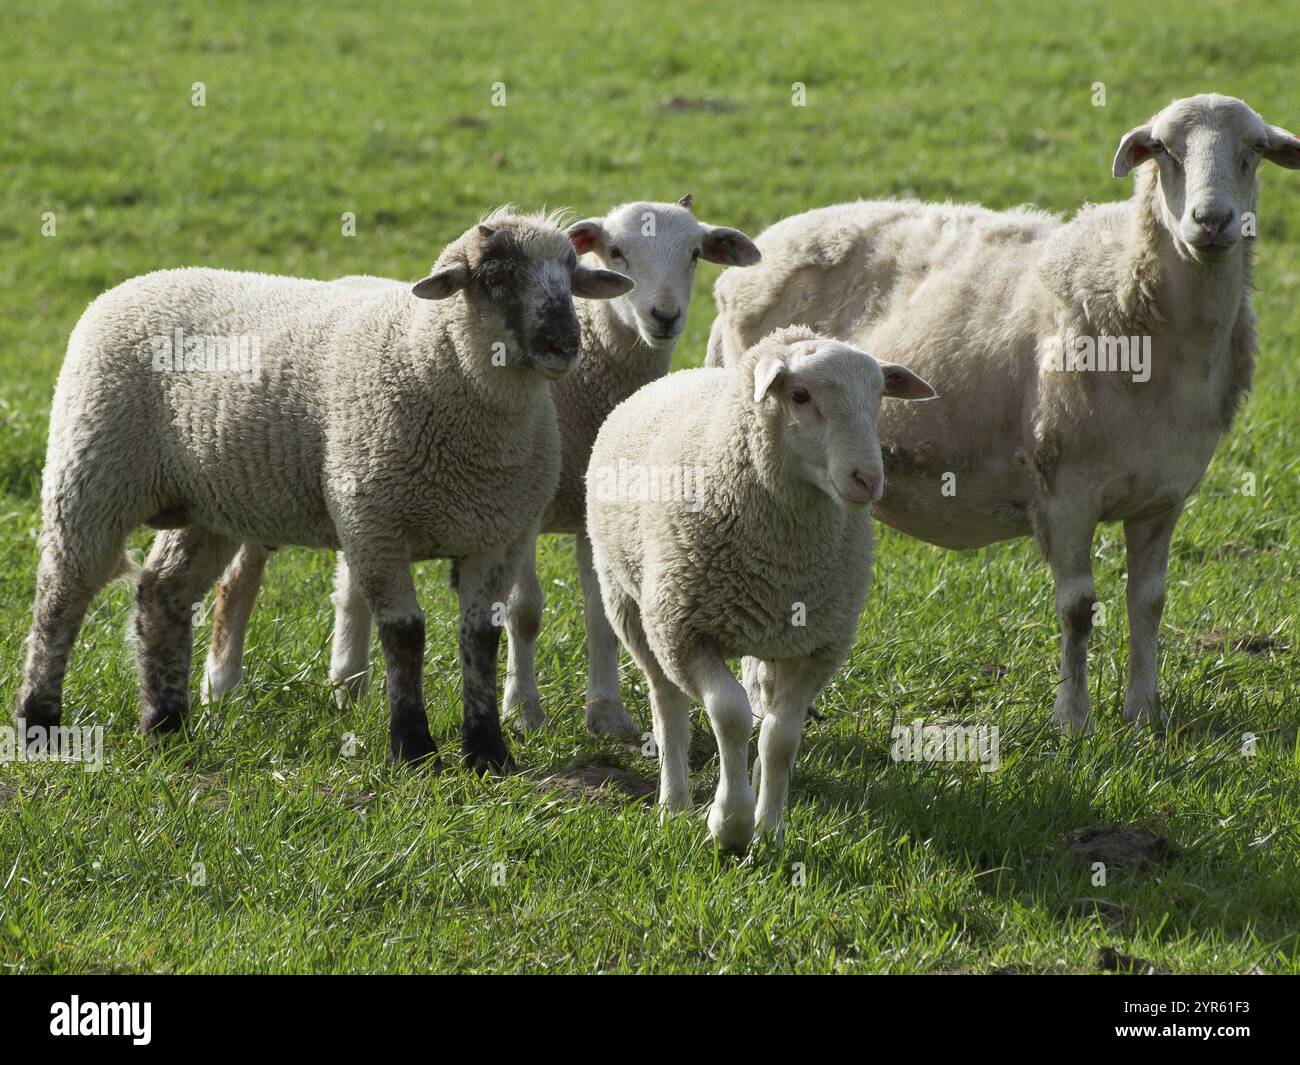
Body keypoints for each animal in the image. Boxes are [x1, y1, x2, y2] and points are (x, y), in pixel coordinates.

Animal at [15, 209, 634, 773]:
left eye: (570, 276)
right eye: (496, 278)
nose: (564, 343)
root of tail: (139, 282)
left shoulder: (498, 536)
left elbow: (481, 639)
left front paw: (487, 753)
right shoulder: (373, 526)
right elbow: (404, 635)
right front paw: (414, 749)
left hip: (205, 505)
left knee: (161, 593)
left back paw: (166, 726)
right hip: (92, 472)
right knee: (61, 596)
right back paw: (39, 723)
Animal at [200, 197, 762, 741]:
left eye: (694, 254)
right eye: (616, 251)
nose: (664, 317)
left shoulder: (588, 514)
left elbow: (599, 617)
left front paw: (607, 716)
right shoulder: (522, 514)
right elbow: (524, 611)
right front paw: (522, 710)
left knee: (351, 586)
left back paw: (349, 685)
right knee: (239, 580)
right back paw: (222, 687)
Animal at [586, 326, 935, 850]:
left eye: (878, 397)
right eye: (800, 395)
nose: (868, 479)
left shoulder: (816, 646)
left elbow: (779, 739)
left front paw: (770, 831)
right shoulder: (685, 632)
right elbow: (729, 716)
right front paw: (730, 823)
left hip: (771, 635)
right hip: (632, 605)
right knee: (667, 703)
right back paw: (674, 803)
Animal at [706, 94, 1300, 735]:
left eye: (1254, 150)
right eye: (1164, 150)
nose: (1211, 221)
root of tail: (752, 258)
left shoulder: (1162, 500)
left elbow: (1148, 604)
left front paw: (1144, 715)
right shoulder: (1065, 493)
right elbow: (1078, 609)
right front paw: (1073, 721)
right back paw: (762, 704)